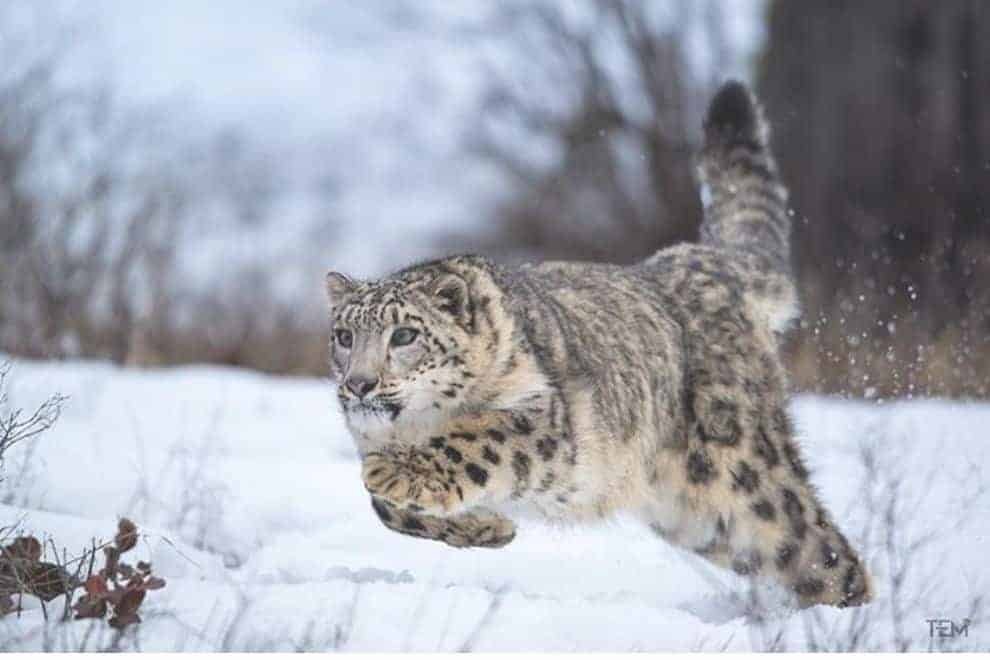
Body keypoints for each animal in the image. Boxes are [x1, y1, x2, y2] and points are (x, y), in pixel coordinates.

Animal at [328, 81, 876, 608]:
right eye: (344, 336)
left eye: (404, 335)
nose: (359, 384)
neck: (410, 426)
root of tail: (697, 257)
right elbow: (383, 509)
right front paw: (488, 526)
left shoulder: (543, 420)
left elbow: (472, 441)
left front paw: (395, 472)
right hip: (707, 520)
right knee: (803, 562)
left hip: (745, 471)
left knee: (824, 550)